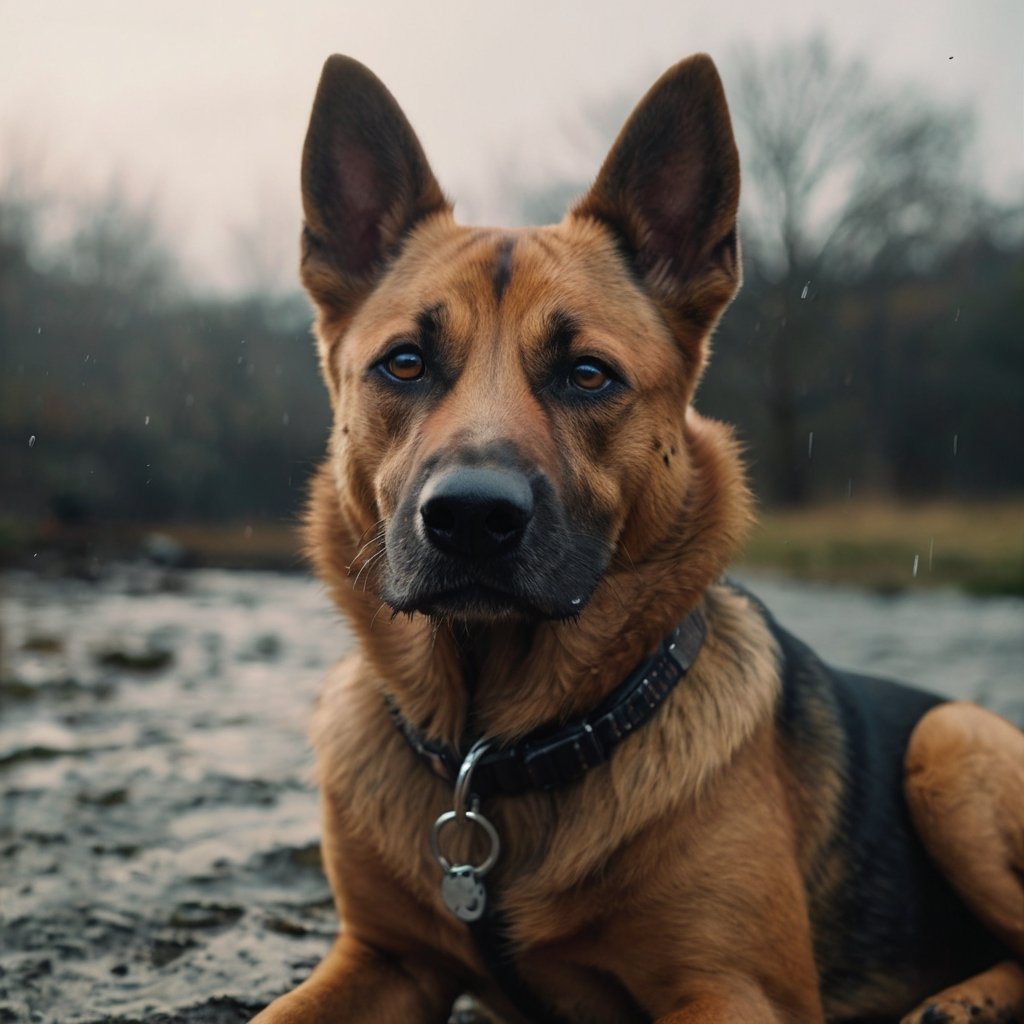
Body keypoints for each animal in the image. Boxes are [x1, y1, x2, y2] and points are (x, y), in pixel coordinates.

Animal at [249, 54, 1024, 1024]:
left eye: (588, 375)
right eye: (405, 364)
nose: (469, 518)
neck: (493, 763)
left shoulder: (736, 991)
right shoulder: (384, 959)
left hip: (949, 743)